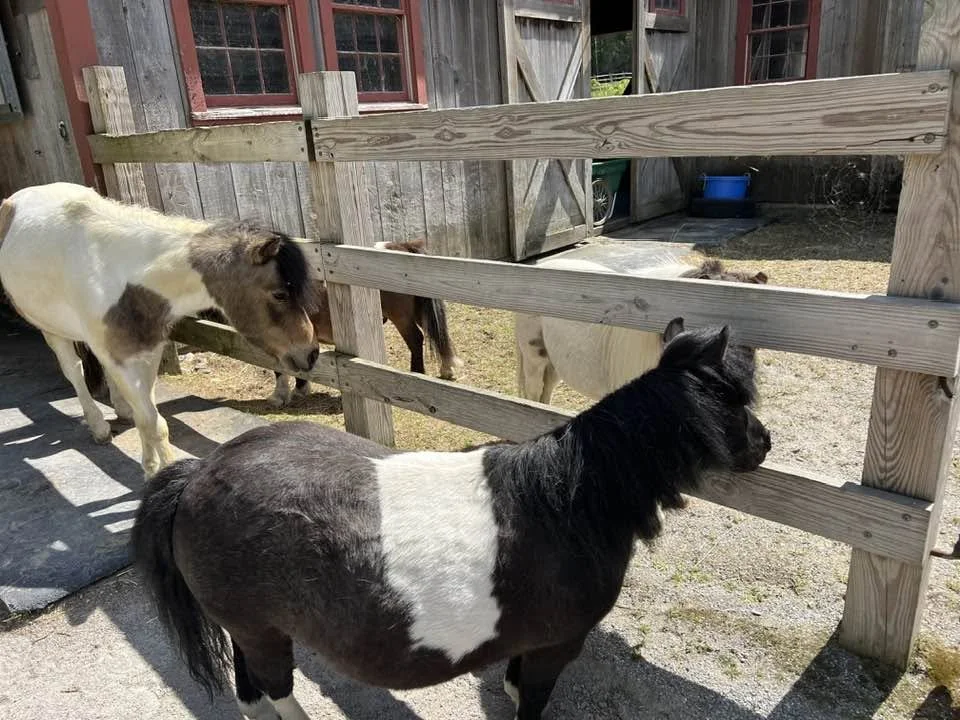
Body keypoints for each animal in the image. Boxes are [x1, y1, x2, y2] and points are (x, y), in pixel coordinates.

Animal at [0, 182, 318, 477]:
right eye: (279, 294)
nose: (312, 353)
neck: (121, 277)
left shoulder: (147, 350)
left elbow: (147, 418)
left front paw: (150, 466)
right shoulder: (122, 358)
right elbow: (155, 424)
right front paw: (160, 474)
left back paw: (121, 410)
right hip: (52, 330)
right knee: (75, 371)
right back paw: (99, 427)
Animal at [133, 318, 771, 720]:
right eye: (734, 398)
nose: (765, 444)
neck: (570, 502)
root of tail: (200, 473)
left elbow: (512, 685)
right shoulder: (556, 648)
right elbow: (529, 703)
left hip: (247, 629)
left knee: (250, 695)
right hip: (260, 631)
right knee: (274, 689)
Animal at [267, 239, 462, 408]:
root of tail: (402, 246)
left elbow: (280, 367)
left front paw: (280, 395)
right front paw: (299, 389)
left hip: (402, 317)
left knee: (416, 340)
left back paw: (417, 373)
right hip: (419, 311)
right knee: (438, 335)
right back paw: (447, 369)